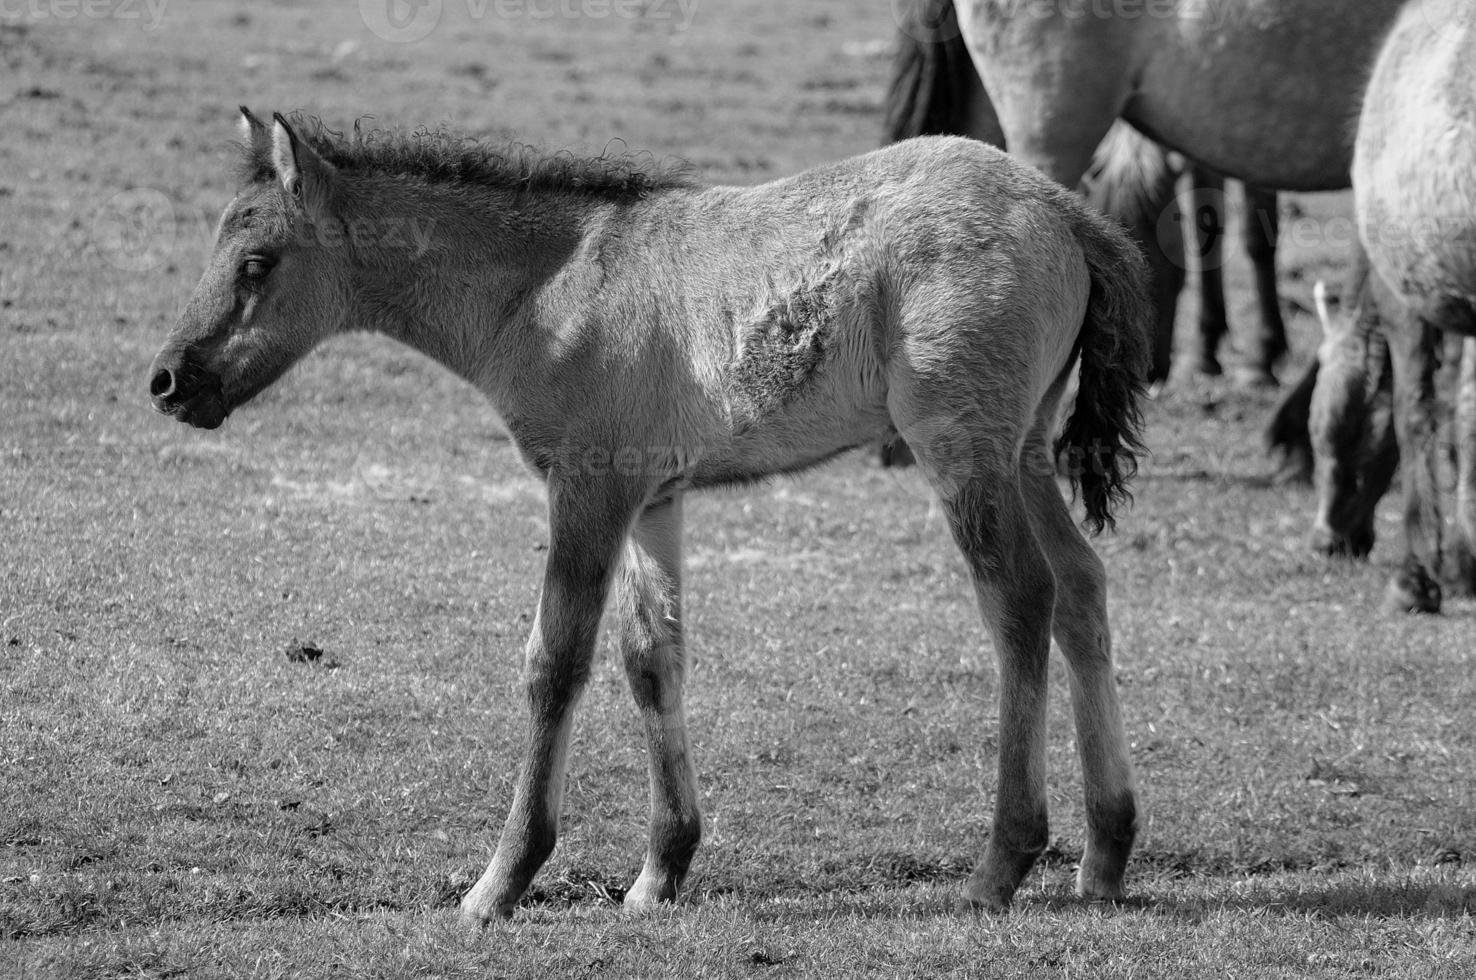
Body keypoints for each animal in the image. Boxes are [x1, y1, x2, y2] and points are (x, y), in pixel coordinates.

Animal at [152, 112, 1163, 920]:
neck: (547, 288)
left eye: (256, 263)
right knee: (1081, 587)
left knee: (1020, 599)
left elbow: (555, 664)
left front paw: (499, 884)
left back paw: (1001, 866)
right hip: (1026, 449)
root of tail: (1062, 208)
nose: (167, 380)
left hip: (962, 449)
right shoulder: (654, 500)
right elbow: (652, 659)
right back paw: (1105, 856)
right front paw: (658, 874)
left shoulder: (587, 490)